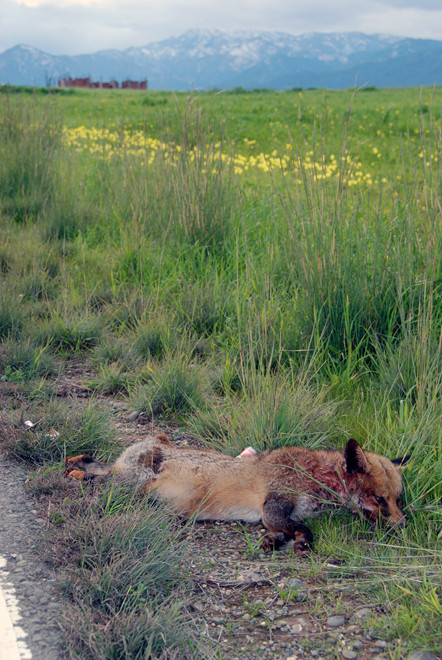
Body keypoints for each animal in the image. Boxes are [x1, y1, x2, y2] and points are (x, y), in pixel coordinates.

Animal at [64, 434, 410, 552]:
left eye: (398, 500)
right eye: (380, 499)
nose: (401, 524)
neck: (316, 478)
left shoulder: (275, 513)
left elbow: (282, 530)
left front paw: (275, 542)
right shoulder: (275, 503)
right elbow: (301, 528)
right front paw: (301, 542)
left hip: (126, 481)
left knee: (98, 468)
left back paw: (76, 464)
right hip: (128, 486)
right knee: (97, 477)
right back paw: (75, 471)